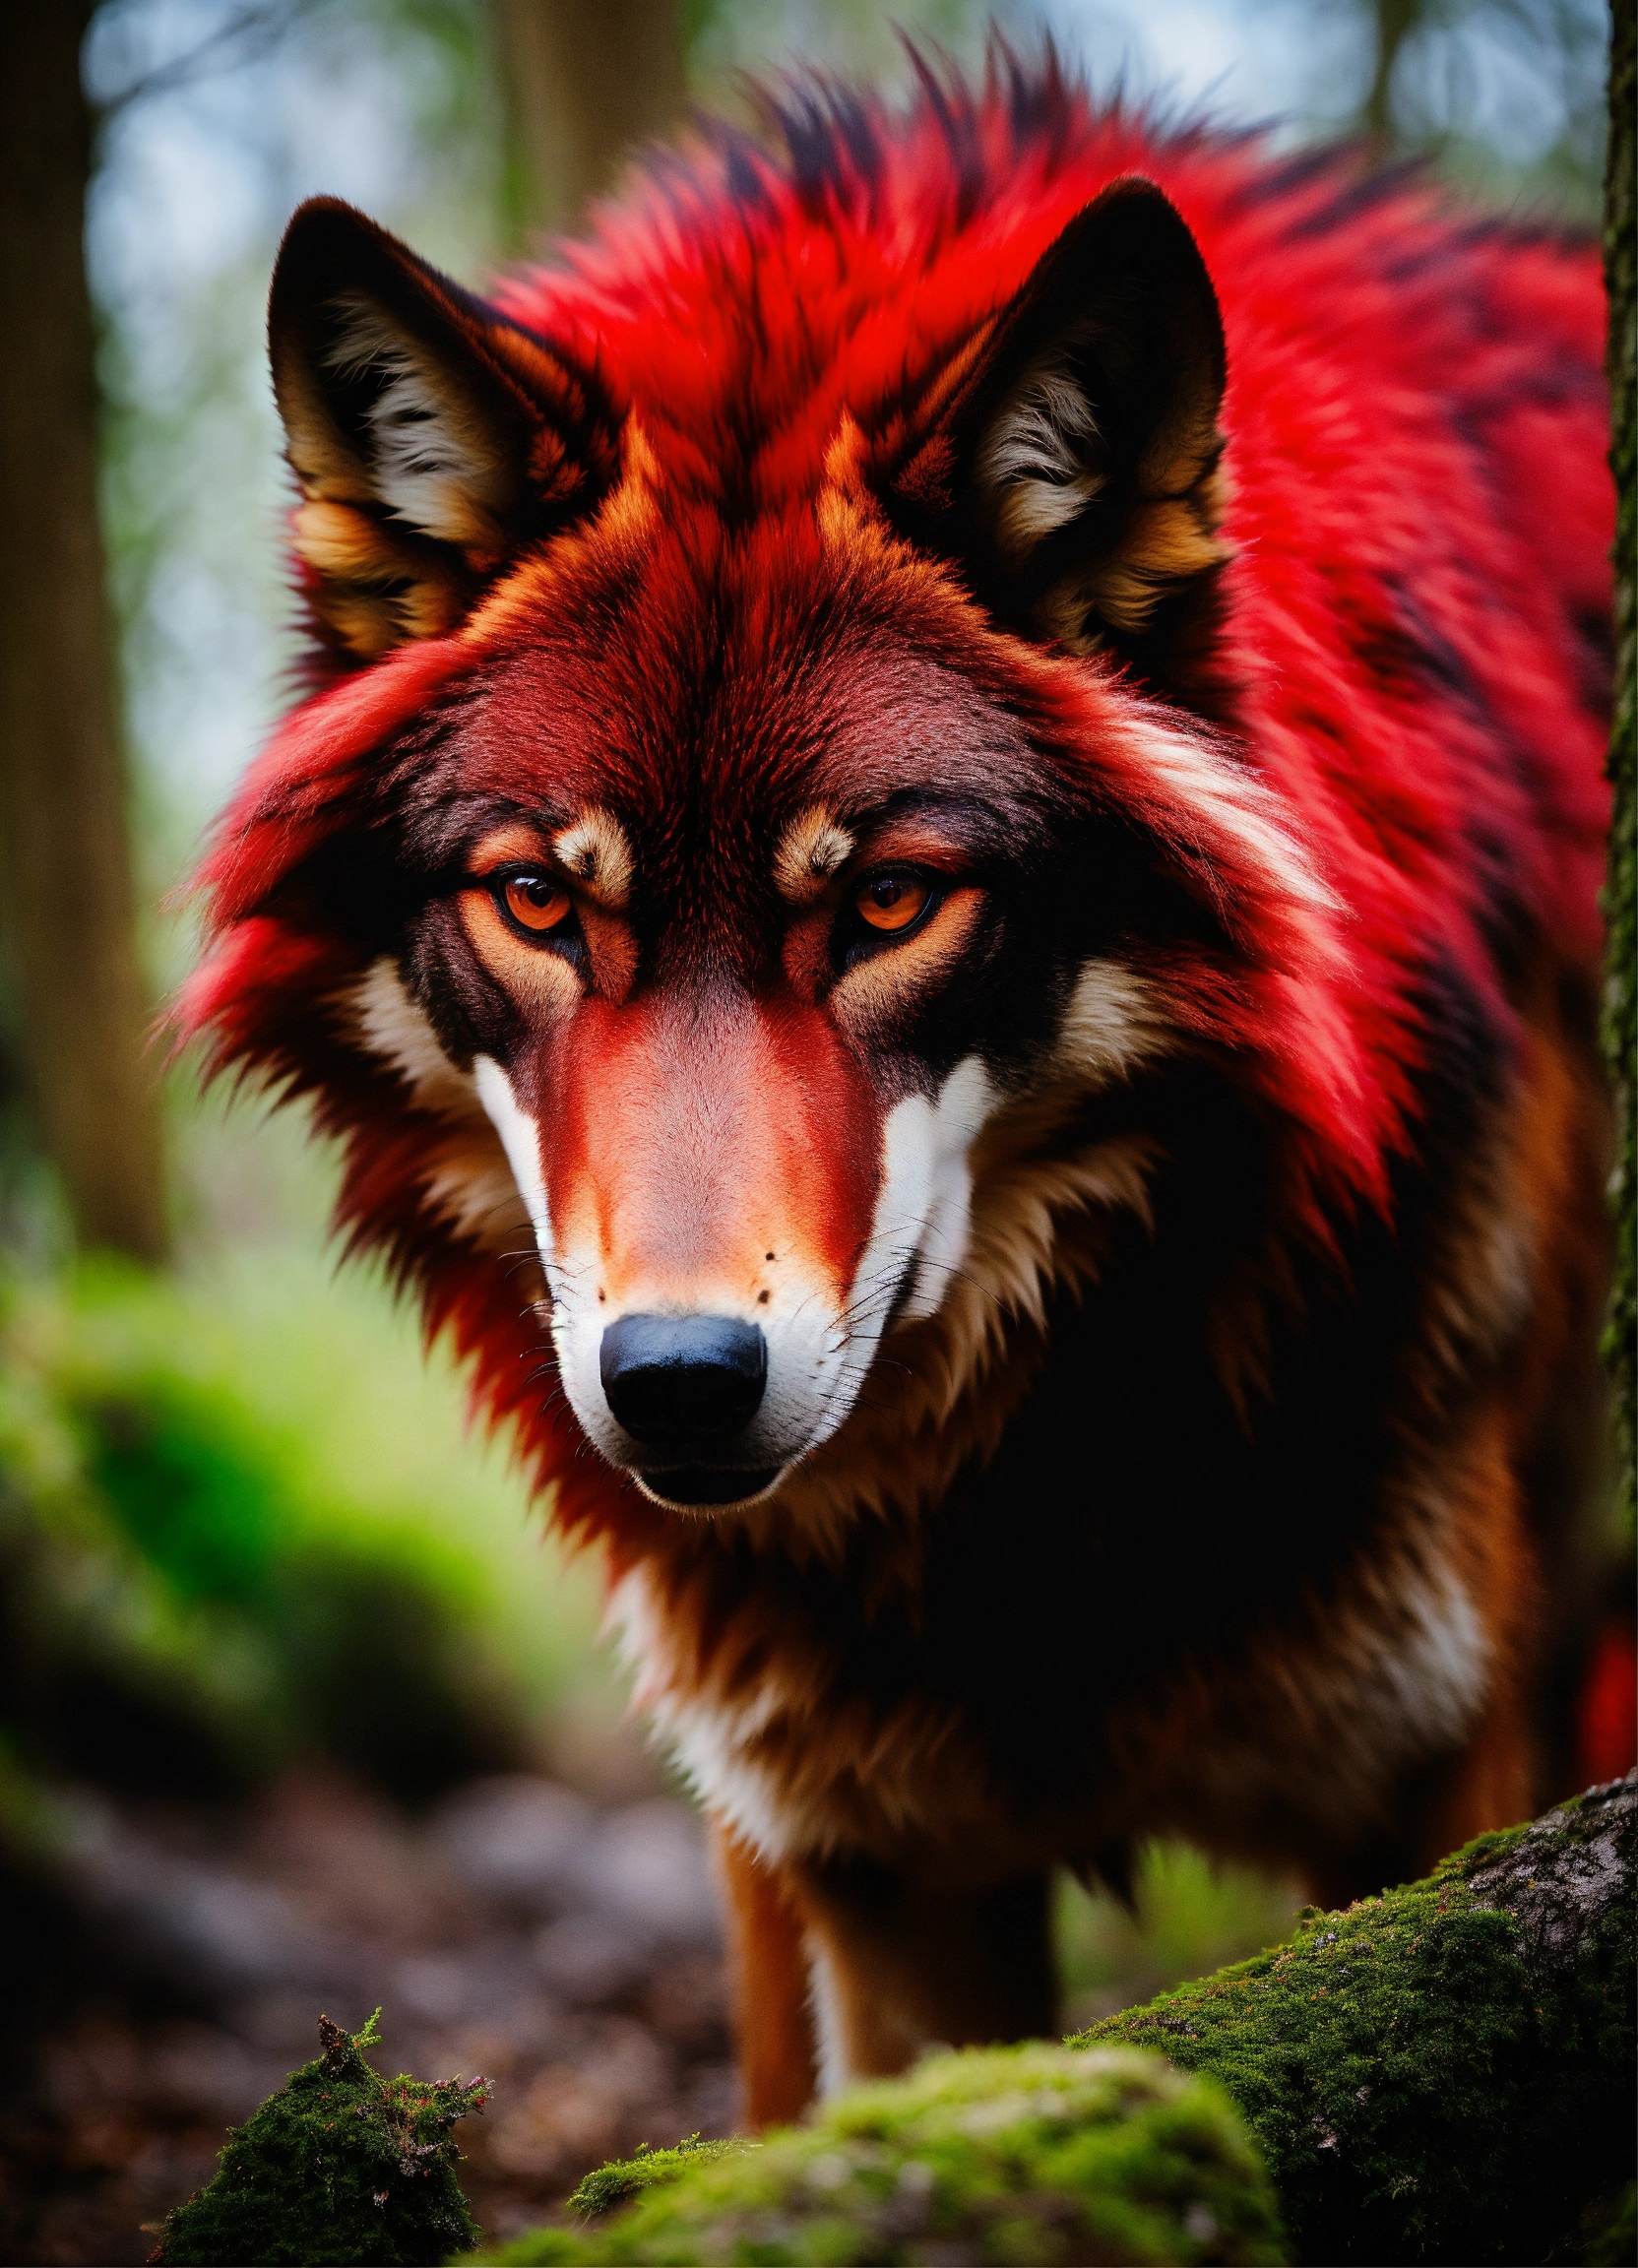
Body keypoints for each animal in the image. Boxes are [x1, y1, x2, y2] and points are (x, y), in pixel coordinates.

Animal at [183, 51, 1615, 2122]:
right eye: (535, 898)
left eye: (885, 897)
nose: (677, 1377)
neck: (1018, 1500)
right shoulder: (865, 1874)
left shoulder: (1443, 1798)